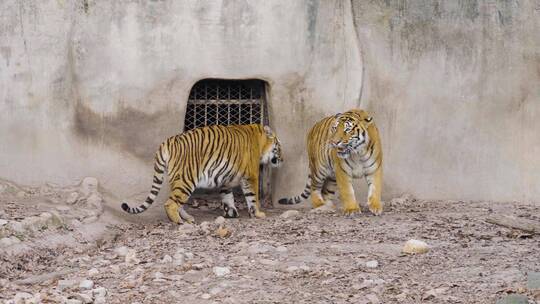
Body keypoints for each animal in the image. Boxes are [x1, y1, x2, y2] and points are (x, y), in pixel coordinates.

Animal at [121, 123, 282, 223]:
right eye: (279, 147)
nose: (282, 159)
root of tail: (168, 141)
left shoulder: (226, 180)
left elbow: (227, 196)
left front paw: (230, 212)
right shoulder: (251, 176)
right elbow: (253, 197)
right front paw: (258, 213)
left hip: (179, 180)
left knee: (178, 202)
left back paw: (188, 218)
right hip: (186, 179)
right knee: (171, 203)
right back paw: (179, 222)